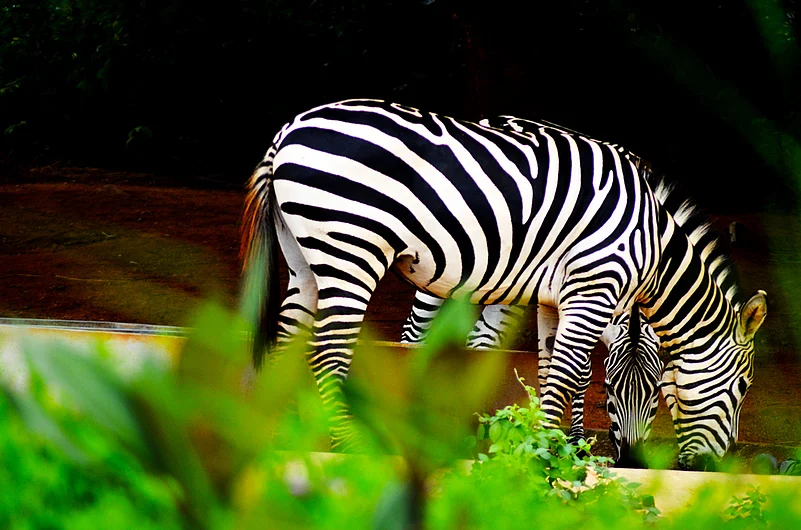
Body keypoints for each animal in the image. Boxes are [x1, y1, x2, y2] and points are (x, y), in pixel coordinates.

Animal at [241, 99, 767, 469]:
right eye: (743, 387)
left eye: (655, 389)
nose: (714, 467)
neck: (653, 243)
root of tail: (288, 131)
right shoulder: (595, 286)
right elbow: (570, 373)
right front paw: (549, 454)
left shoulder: (558, 300)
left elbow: (556, 372)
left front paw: (556, 443)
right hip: (352, 249)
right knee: (330, 354)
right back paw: (350, 445)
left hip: (304, 259)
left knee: (287, 342)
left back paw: (280, 433)